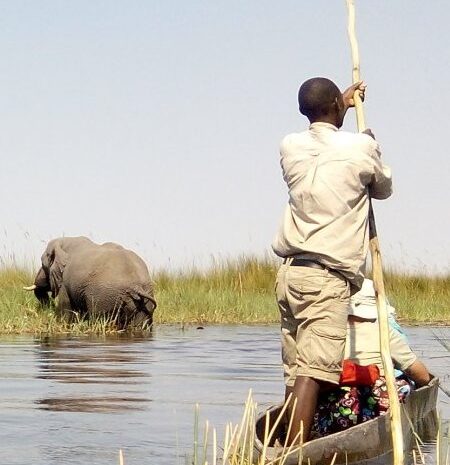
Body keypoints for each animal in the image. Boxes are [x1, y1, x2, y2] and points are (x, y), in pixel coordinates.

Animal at [25, 236, 158, 330]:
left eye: (43, 264)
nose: (47, 308)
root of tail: (136, 287)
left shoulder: (64, 280)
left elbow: (65, 307)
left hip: (105, 296)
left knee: (100, 319)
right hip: (144, 299)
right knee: (138, 326)